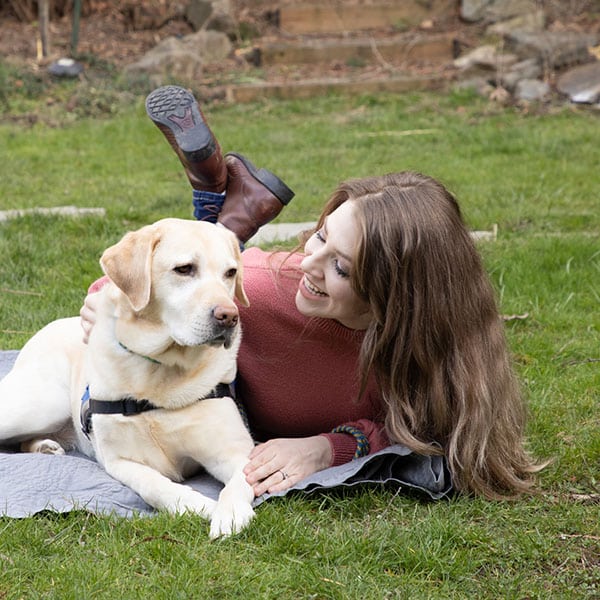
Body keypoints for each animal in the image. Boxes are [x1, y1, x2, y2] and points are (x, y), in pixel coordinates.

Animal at [0, 218, 255, 536]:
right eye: (184, 269)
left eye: (230, 273)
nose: (229, 316)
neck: (161, 374)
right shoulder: (120, 461)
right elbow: (155, 485)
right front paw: (197, 505)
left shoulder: (237, 452)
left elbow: (241, 482)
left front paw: (230, 512)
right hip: (39, 406)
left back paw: (44, 447)